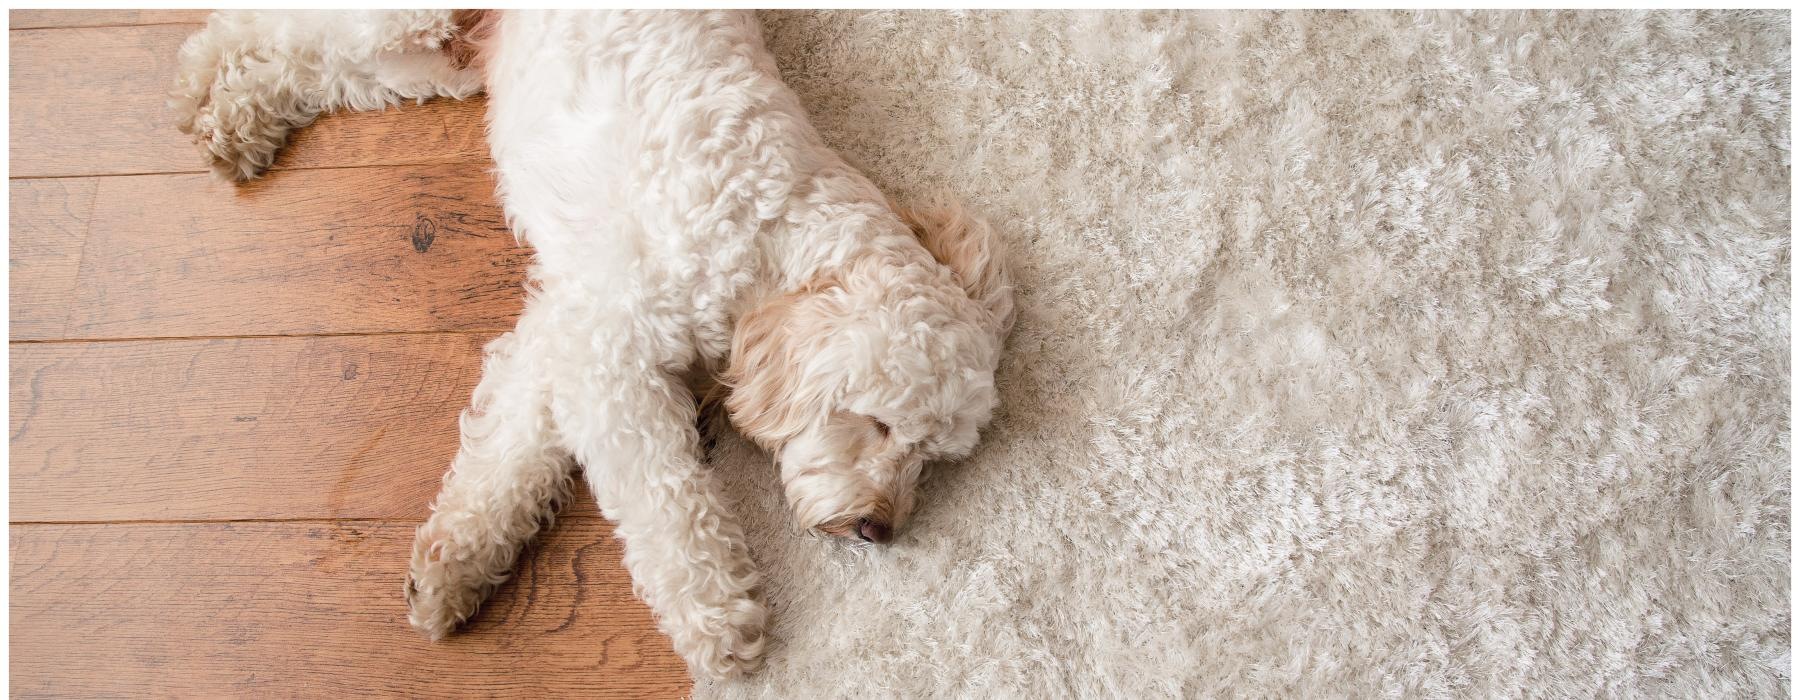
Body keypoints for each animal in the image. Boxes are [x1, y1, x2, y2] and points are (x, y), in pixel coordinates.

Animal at [171, 9, 1015, 676]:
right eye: (877, 422)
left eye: (931, 460)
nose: (882, 529)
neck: (770, 232)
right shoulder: (613, 351)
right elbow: (669, 503)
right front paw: (718, 617)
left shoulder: (564, 332)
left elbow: (509, 455)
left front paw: (456, 565)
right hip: (403, 21)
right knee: (264, 24)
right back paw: (193, 85)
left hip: (434, 64)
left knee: (316, 66)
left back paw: (238, 118)